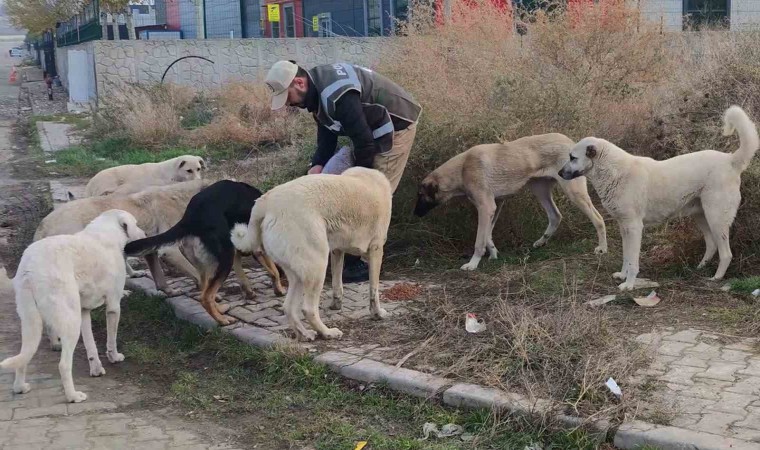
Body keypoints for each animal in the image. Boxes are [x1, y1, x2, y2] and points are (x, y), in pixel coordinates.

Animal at [0, 209, 147, 402]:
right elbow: (111, 339)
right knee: (63, 365)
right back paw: (73, 396)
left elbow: (91, 345)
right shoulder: (114, 307)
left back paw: (19, 387)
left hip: (31, 321)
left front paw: (96, 369)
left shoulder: (84, 312)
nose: (145, 234)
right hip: (70, 322)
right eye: (136, 224)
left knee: (24, 355)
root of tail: (29, 268)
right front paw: (114, 357)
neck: (107, 230)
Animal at [124, 178, 284, 324]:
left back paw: (220, 309)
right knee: (206, 296)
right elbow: (274, 270)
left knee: (204, 288)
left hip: (205, 263)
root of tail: (190, 217)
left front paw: (249, 290)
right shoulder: (257, 248)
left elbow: (243, 268)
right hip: (224, 259)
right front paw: (279, 289)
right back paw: (222, 320)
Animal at [232, 168, 392, 342]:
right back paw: (327, 332)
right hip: (317, 267)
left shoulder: (337, 251)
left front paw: (336, 304)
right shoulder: (376, 250)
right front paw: (377, 314)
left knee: (288, 307)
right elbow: (374, 290)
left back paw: (305, 334)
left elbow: (337, 284)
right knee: (308, 309)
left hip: (299, 275)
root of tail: (265, 201)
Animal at [412, 132, 608, 268]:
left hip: (574, 192)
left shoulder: (486, 207)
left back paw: (602, 248)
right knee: (555, 216)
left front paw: (473, 264)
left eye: (421, 195)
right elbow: (487, 234)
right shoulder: (495, 206)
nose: (414, 214)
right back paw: (541, 241)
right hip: (539, 189)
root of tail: (570, 142)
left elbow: (479, 240)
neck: (462, 168)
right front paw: (493, 254)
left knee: (598, 219)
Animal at [560, 105, 760, 290]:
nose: (560, 173)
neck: (614, 171)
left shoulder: (634, 227)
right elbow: (626, 256)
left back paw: (716, 278)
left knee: (726, 253)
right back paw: (700, 268)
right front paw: (622, 275)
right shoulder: (624, 227)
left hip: (716, 218)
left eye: (572, 157)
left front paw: (629, 284)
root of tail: (731, 160)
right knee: (711, 245)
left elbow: (633, 260)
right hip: (701, 216)